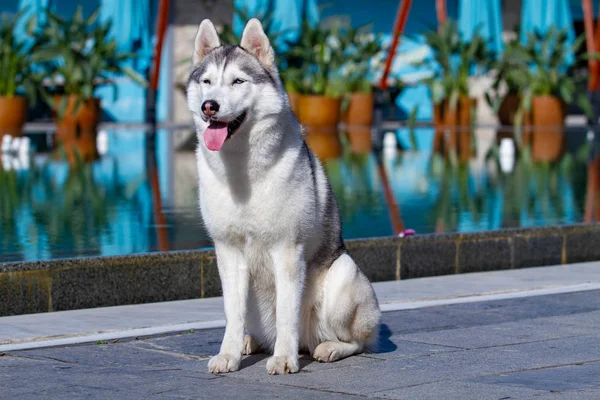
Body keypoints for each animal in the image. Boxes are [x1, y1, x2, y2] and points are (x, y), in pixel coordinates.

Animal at [188, 18, 380, 376]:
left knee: (357, 341)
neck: (242, 168)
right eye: (207, 82)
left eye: (238, 81)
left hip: (343, 276)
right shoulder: (228, 252)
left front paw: (283, 359)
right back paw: (250, 342)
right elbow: (232, 314)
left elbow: (286, 314)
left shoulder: (287, 251)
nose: (210, 106)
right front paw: (228, 354)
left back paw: (328, 347)